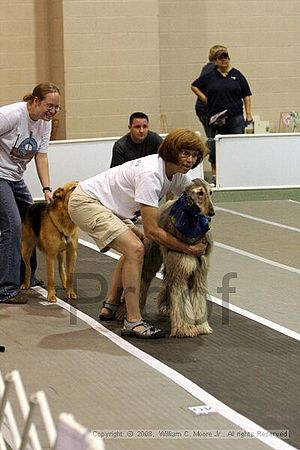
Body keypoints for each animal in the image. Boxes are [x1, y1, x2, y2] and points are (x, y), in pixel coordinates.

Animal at [139, 179, 214, 338]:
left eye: (210, 192)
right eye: (200, 193)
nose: (212, 212)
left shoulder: (198, 272)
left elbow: (198, 298)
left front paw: (201, 325)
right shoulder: (181, 267)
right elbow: (180, 297)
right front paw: (185, 328)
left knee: (166, 281)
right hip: (153, 256)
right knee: (144, 279)